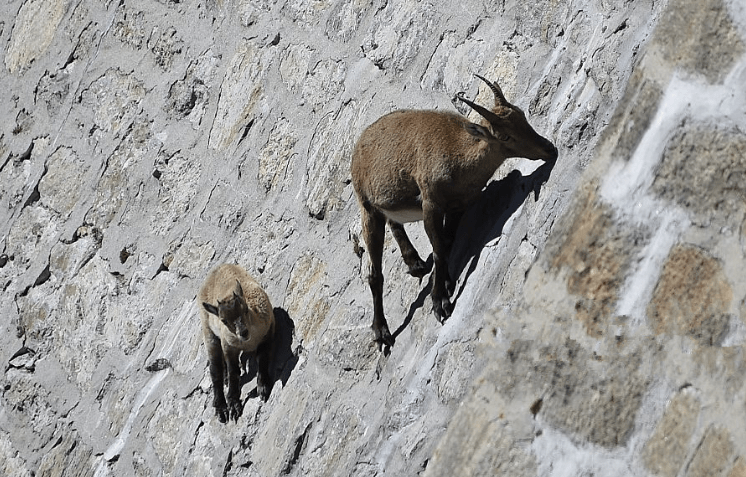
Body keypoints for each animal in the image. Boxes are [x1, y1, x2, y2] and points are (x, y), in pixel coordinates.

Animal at [199, 262, 274, 422]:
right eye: (224, 320)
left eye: (245, 309)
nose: (243, 332)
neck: (249, 342)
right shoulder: (229, 346)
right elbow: (233, 371)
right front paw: (233, 405)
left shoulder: (268, 330)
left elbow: (263, 357)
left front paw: (263, 387)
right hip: (209, 332)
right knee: (215, 370)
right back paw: (221, 407)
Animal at [352, 75, 556, 350]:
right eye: (504, 136)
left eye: (522, 115)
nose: (548, 148)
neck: (459, 156)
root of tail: (359, 146)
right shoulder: (431, 204)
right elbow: (439, 250)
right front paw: (440, 302)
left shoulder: (458, 207)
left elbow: (448, 243)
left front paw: (446, 283)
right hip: (368, 209)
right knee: (375, 274)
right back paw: (381, 331)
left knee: (395, 223)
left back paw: (415, 263)